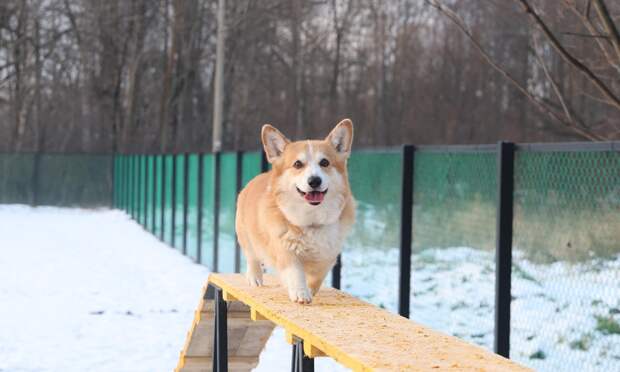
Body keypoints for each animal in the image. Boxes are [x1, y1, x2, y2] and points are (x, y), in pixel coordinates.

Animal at [235, 117, 356, 304]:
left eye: (325, 162)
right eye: (298, 164)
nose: (314, 181)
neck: (311, 218)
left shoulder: (329, 254)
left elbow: (318, 274)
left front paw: (311, 289)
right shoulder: (284, 250)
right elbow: (295, 272)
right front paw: (301, 293)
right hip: (245, 235)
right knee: (251, 256)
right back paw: (255, 277)